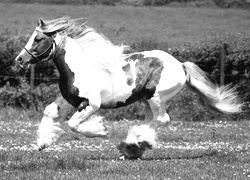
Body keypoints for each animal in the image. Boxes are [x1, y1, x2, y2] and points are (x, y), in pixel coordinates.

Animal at [14, 16, 243, 159]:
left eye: (38, 38)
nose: (19, 59)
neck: (80, 67)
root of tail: (181, 66)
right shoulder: (68, 99)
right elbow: (49, 111)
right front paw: (43, 142)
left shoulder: (91, 104)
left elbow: (73, 124)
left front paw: (101, 130)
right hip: (147, 100)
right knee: (152, 121)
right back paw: (134, 147)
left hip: (156, 97)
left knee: (162, 120)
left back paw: (133, 143)